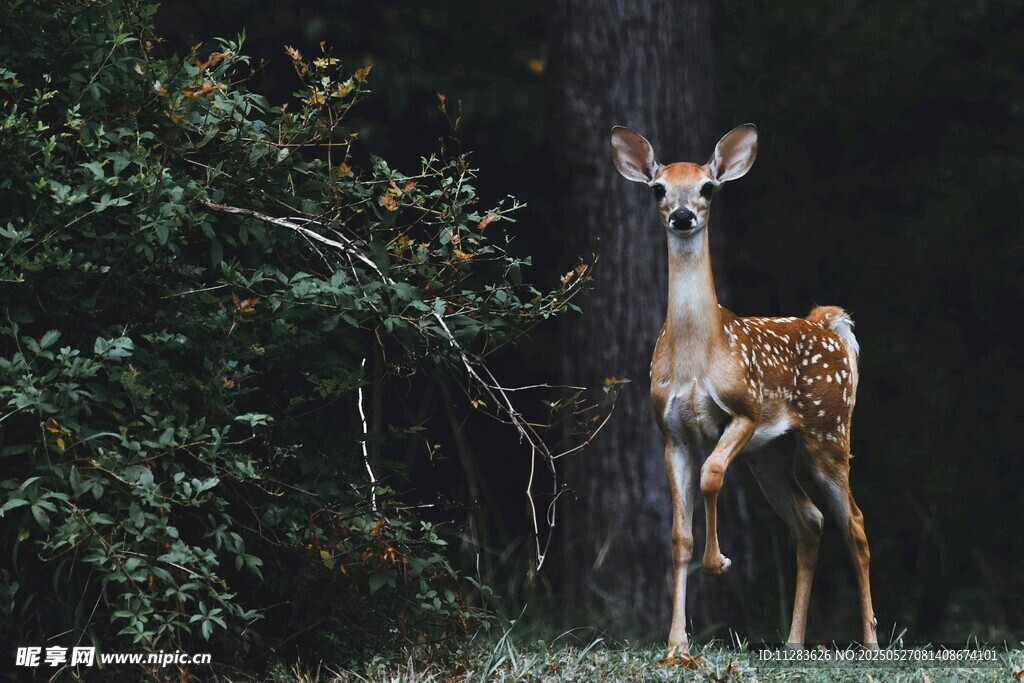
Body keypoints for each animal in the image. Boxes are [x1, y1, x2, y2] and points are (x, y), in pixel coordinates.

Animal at [610, 124, 878, 657]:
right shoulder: (670, 433)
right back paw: (793, 642)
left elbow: (712, 476)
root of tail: (829, 324)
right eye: (658, 189)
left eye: (708, 188)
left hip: (829, 431)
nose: (684, 216)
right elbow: (679, 536)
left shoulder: (745, 410)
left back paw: (872, 642)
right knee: (810, 521)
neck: (698, 356)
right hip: (770, 454)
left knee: (855, 523)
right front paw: (677, 643)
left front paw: (720, 563)